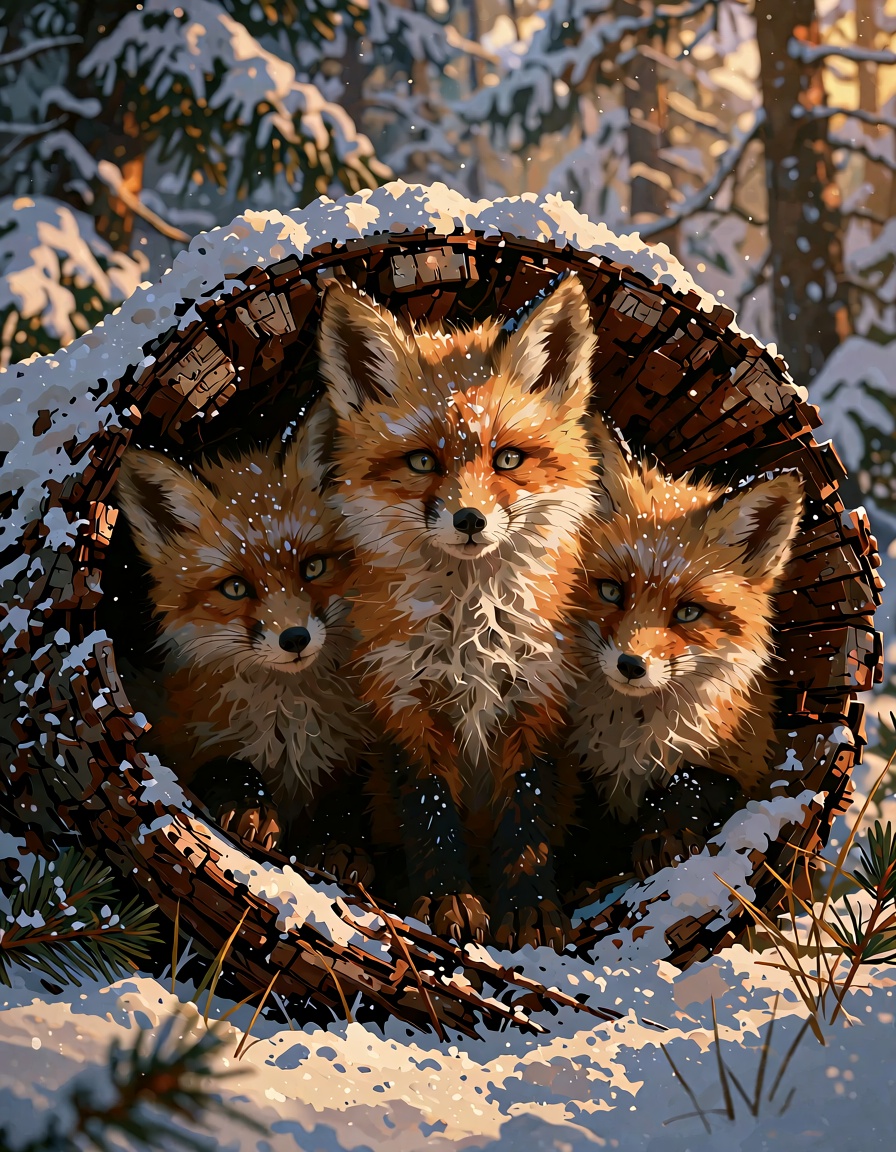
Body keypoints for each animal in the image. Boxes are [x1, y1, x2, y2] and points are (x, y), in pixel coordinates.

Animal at [116, 401, 371, 855]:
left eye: (313, 567)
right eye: (235, 588)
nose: (295, 639)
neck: (288, 723)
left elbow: (345, 813)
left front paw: (342, 852)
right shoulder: (172, 736)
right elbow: (225, 764)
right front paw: (250, 805)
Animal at [318, 274, 600, 950]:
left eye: (508, 459)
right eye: (423, 461)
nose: (469, 519)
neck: (471, 625)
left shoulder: (535, 702)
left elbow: (526, 824)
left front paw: (530, 910)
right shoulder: (403, 706)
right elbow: (431, 816)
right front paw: (445, 900)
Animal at [566, 415, 803, 876]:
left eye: (689, 612)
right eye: (610, 591)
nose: (631, 665)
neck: (633, 736)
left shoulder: (743, 761)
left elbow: (689, 788)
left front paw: (665, 840)